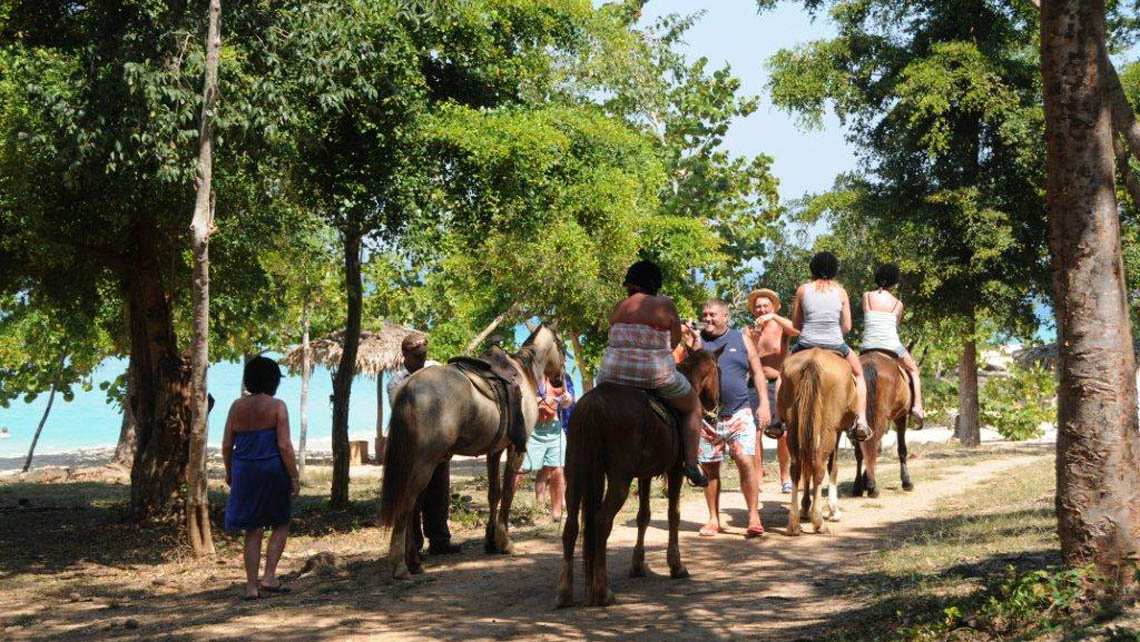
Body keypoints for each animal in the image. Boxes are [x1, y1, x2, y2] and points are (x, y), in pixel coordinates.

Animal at [378, 323, 565, 579]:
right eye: (562, 345)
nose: (560, 381)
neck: (524, 372)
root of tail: (408, 386)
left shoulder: (494, 451)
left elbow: (494, 493)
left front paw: (491, 542)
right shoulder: (516, 448)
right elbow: (508, 492)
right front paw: (505, 542)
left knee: (413, 506)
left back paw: (414, 561)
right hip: (425, 462)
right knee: (407, 505)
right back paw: (400, 565)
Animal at [551, 346, 720, 606]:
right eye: (717, 371)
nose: (715, 408)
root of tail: (594, 402)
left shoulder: (645, 475)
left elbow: (644, 516)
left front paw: (638, 565)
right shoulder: (675, 470)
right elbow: (673, 515)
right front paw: (676, 565)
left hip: (576, 473)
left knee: (570, 527)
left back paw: (564, 592)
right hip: (620, 479)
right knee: (602, 522)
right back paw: (602, 591)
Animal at [784, 348, 857, 535]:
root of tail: (813, 359)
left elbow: (807, 469)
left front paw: (804, 507)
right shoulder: (838, 431)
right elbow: (833, 467)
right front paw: (833, 510)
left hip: (794, 427)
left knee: (796, 468)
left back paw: (794, 523)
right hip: (828, 430)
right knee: (818, 468)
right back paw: (818, 521)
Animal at [857, 351, 916, 497]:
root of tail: (870, 361)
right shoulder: (900, 417)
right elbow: (902, 448)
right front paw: (907, 482)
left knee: (861, 447)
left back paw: (858, 486)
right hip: (881, 419)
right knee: (872, 443)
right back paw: (872, 487)